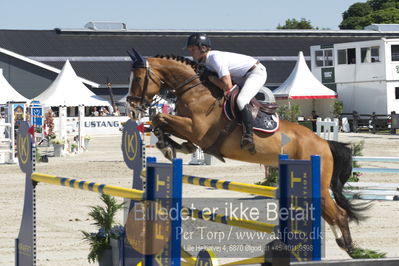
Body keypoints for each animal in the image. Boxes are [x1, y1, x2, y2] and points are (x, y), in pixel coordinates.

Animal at [127, 48, 368, 255]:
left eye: (138, 79)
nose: (132, 108)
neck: (195, 91)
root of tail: (324, 144)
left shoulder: (197, 130)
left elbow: (160, 117)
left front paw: (168, 145)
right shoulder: (190, 129)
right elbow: (162, 122)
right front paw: (172, 145)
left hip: (317, 180)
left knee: (339, 214)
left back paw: (350, 247)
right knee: (329, 214)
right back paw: (341, 243)